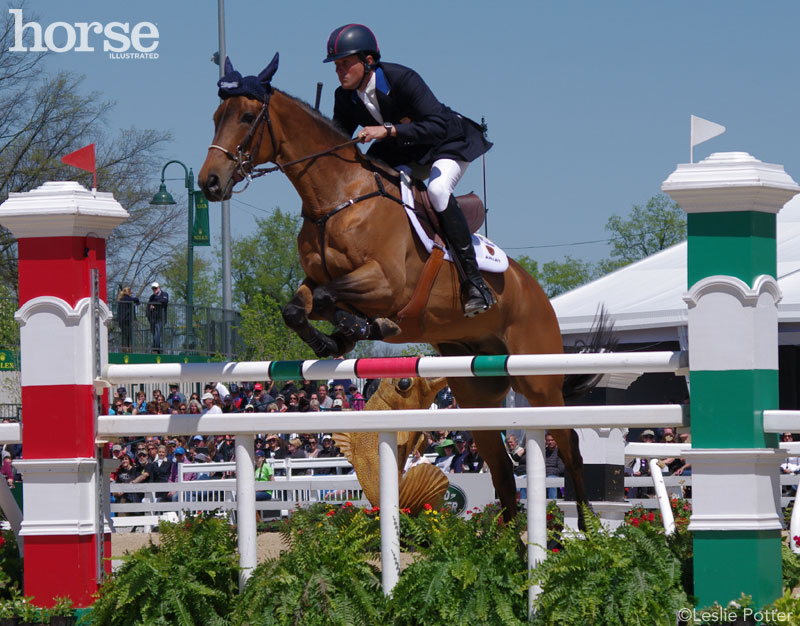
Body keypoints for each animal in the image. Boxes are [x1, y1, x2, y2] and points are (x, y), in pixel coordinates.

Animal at [200, 54, 608, 520]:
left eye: (247, 117)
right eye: (216, 117)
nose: (209, 182)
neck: (338, 198)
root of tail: (536, 292)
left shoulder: (388, 283)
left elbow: (330, 297)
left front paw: (366, 329)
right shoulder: (320, 278)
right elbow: (299, 306)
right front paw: (333, 341)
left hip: (538, 381)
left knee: (570, 445)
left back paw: (587, 524)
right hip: (476, 391)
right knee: (501, 466)